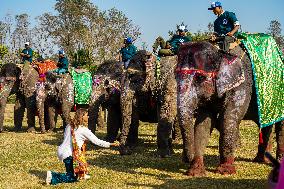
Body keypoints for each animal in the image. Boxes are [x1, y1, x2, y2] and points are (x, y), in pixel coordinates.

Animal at [176, 41, 282, 176]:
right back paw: (260, 159)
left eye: (199, 78)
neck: (220, 51)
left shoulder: (242, 84)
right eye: (175, 76)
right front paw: (195, 172)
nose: (186, 159)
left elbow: (229, 118)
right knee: (265, 125)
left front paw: (225, 171)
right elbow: (203, 123)